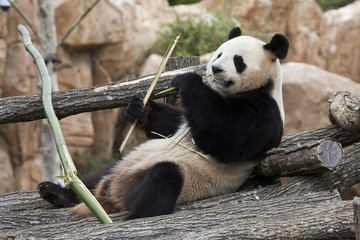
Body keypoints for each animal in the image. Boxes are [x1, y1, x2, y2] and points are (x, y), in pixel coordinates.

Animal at [38, 27, 288, 220]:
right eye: (219, 54)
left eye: (238, 61)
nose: (216, 69)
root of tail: (109, 194)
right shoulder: (185, 118)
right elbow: (171, 124)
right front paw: (139, 108)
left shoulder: (265, 111)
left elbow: (226, 135)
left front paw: (187, 79)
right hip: (127, 163)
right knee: (96, 175)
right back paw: (59, 193)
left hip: (178, 178)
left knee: (164, 178)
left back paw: (134, 214)